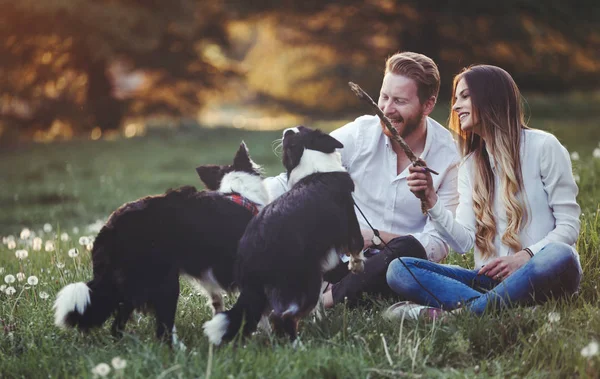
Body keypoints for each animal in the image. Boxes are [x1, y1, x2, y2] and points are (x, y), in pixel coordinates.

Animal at [54, 142, 270, 344]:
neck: (240, 193)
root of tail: (109, 228)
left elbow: (219, 302)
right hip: (164, 281)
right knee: (163, 329)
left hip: (132, 283)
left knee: (118, 324)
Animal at [204, 127, 364, 344]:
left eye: (301, 130)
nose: (287, 130)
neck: (310, 160)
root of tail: (251, 255)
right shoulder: (350, 221)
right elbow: (357, 245)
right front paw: (356, 266)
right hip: (305, 280)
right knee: (283, 316)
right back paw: (297, 344)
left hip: (268, 291)